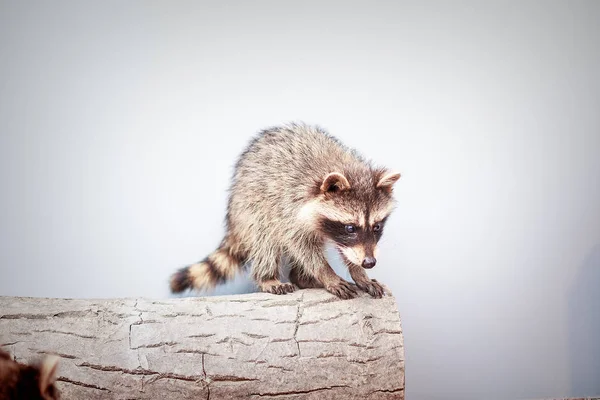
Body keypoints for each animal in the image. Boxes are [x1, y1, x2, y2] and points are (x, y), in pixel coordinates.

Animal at [169, 123, 400, 298]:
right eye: (351, 227)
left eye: (377, 226)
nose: (369, 262)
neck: (345, 168)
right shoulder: (289, 206)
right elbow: (301, 246)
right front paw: (327, 274)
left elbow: (347, 250)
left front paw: (359, 273)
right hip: (251, 206)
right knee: (265, 241)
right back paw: (268, 277)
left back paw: (303, 279)